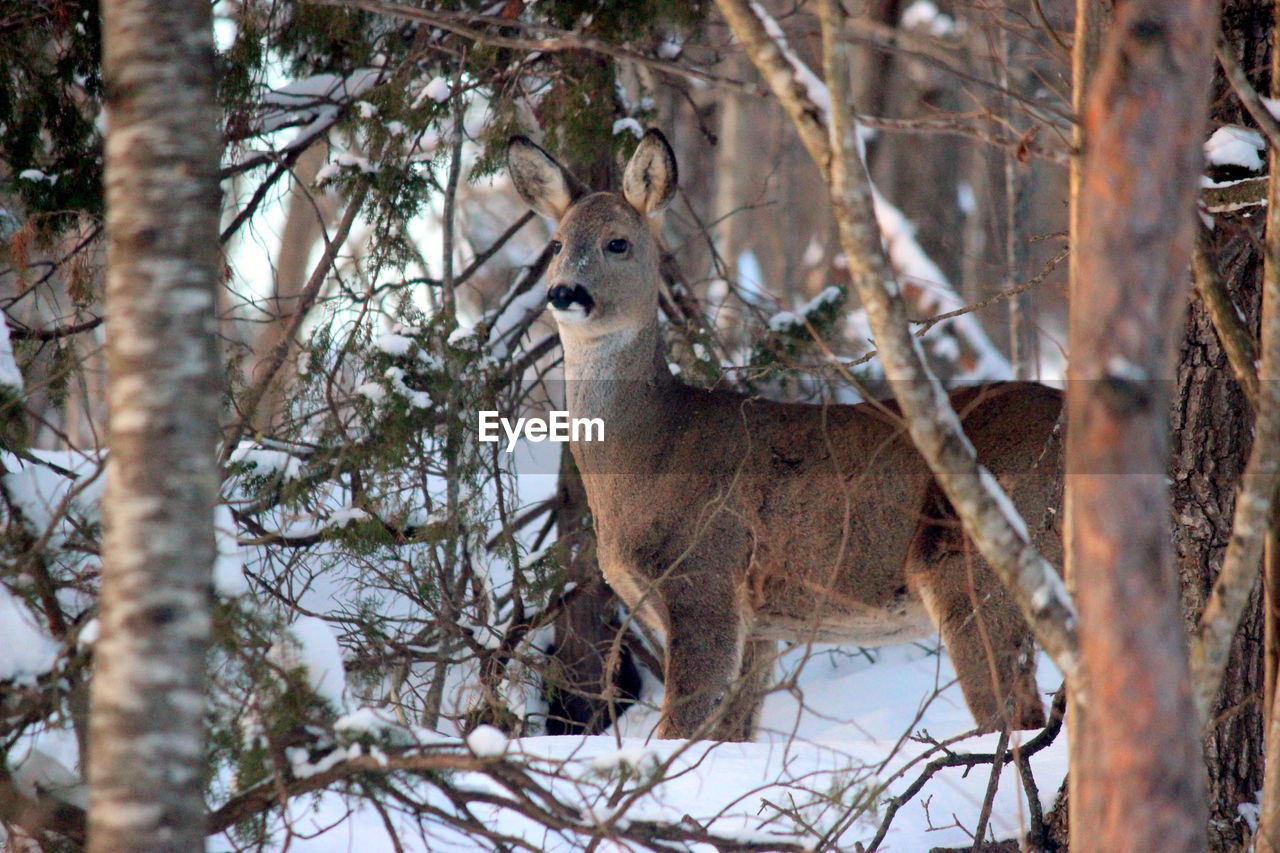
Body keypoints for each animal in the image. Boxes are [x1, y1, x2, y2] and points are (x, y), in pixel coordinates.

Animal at [506, 126, 1059, 737]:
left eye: (618, 243)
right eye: (557, 244)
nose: (564, 293)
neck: (651, 448)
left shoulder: (705, 578)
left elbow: (679, 726)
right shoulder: (761, 626)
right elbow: (729, 735)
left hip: (975, 569)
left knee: (1014, 717)